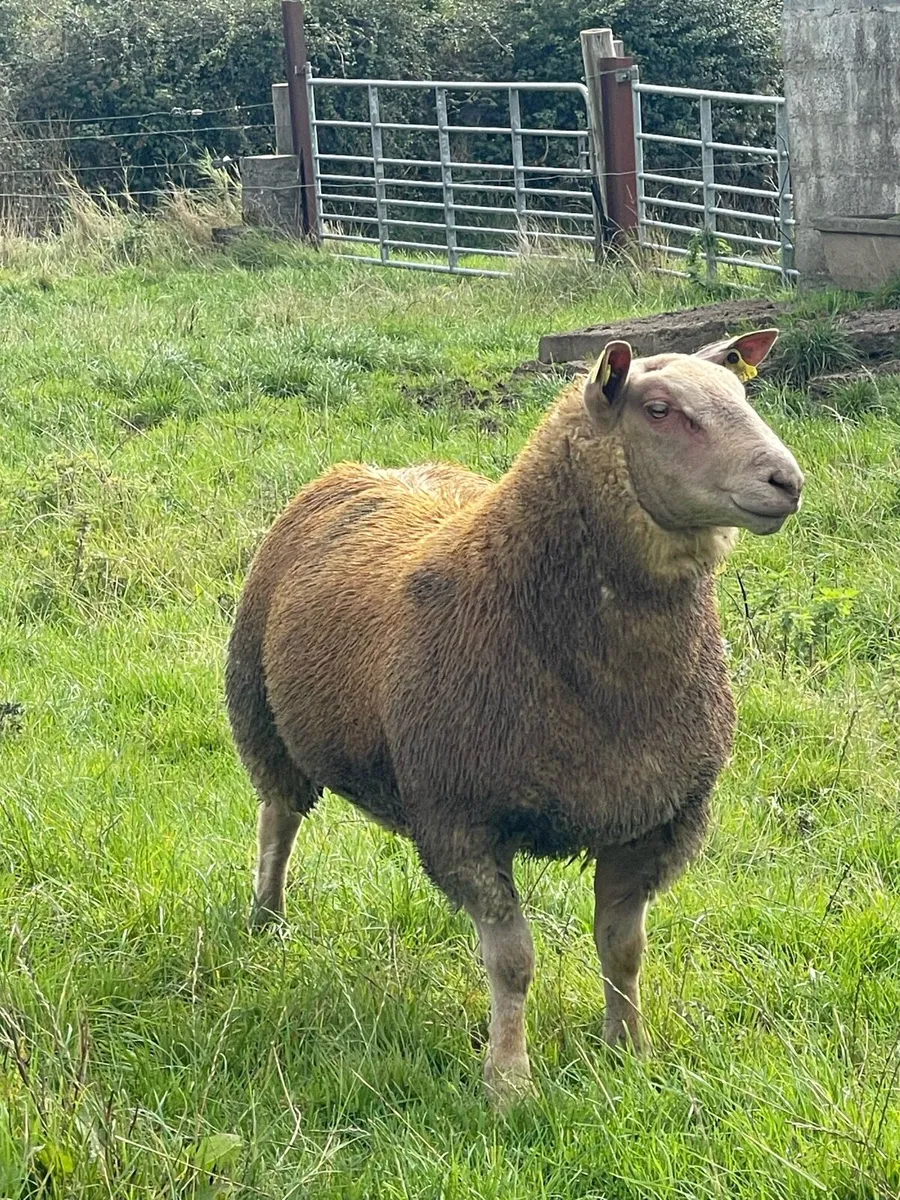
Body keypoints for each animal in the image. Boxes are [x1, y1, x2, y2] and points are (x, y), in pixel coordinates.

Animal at [225, 328, 803, 1102]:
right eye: (658, 409)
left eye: (743, 394)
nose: (786, 481)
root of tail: (371, 466)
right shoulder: (461, 818)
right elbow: (513, 960)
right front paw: (508, 1082)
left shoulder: (656, 818)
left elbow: (624, 949)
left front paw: (629, 1053)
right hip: (259, 713)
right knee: (278, 819)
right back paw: (267, 917)